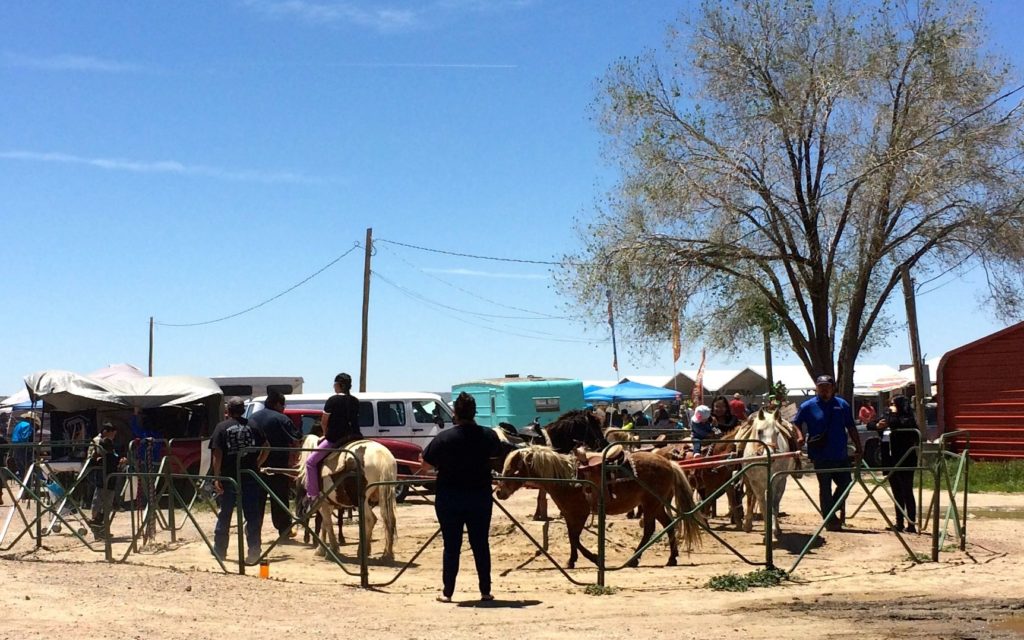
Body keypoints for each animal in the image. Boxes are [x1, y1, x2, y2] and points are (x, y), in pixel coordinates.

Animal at [495, 445, 702, 568]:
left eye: (512, 468)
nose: (499, 492)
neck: (567, 478)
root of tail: (669, 463)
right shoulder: (569, 514)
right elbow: (572, 537)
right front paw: (572, 560)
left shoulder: (580, 513)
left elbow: (575, 538)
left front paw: (593, 558)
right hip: (657, 505)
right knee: (669, 525)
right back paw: (672, 558)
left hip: (651, 504)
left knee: (650, 529)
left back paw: (634, 559)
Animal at [734, 408, 797, 539]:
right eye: (759, 431)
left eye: (777, 433)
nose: (771, 454)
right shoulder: (755, 482)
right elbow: (762, 504)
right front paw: (767, 529)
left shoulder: (777, 481)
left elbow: (773, 505)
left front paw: (774, 529)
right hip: (748, 481)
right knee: (750, 497)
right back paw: (748, 524)